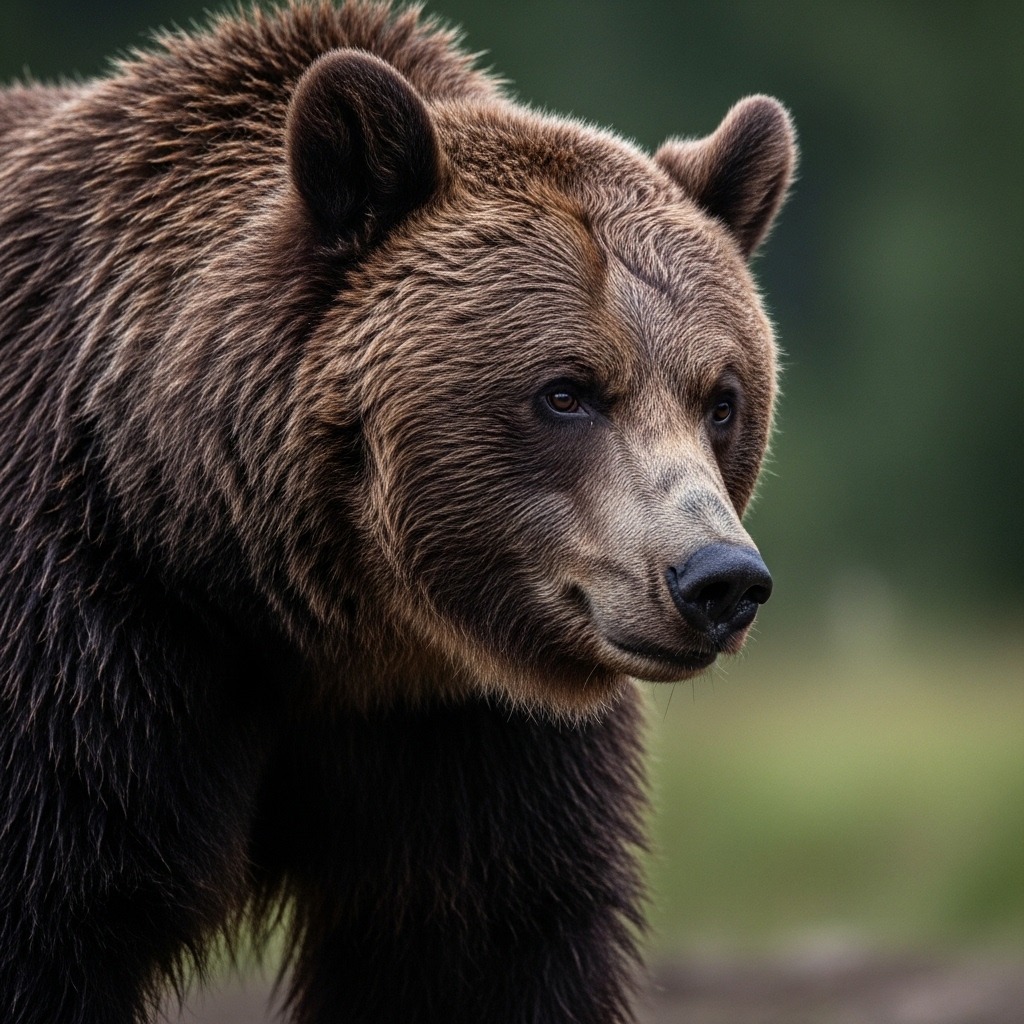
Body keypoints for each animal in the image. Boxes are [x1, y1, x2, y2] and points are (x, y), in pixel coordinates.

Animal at [0, 2, 795, 1022]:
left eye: (721, 397)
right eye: (567, 391)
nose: (718, 579)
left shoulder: (461, 739)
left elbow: (478, 950)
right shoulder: (88, 666)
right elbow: (49, 926)